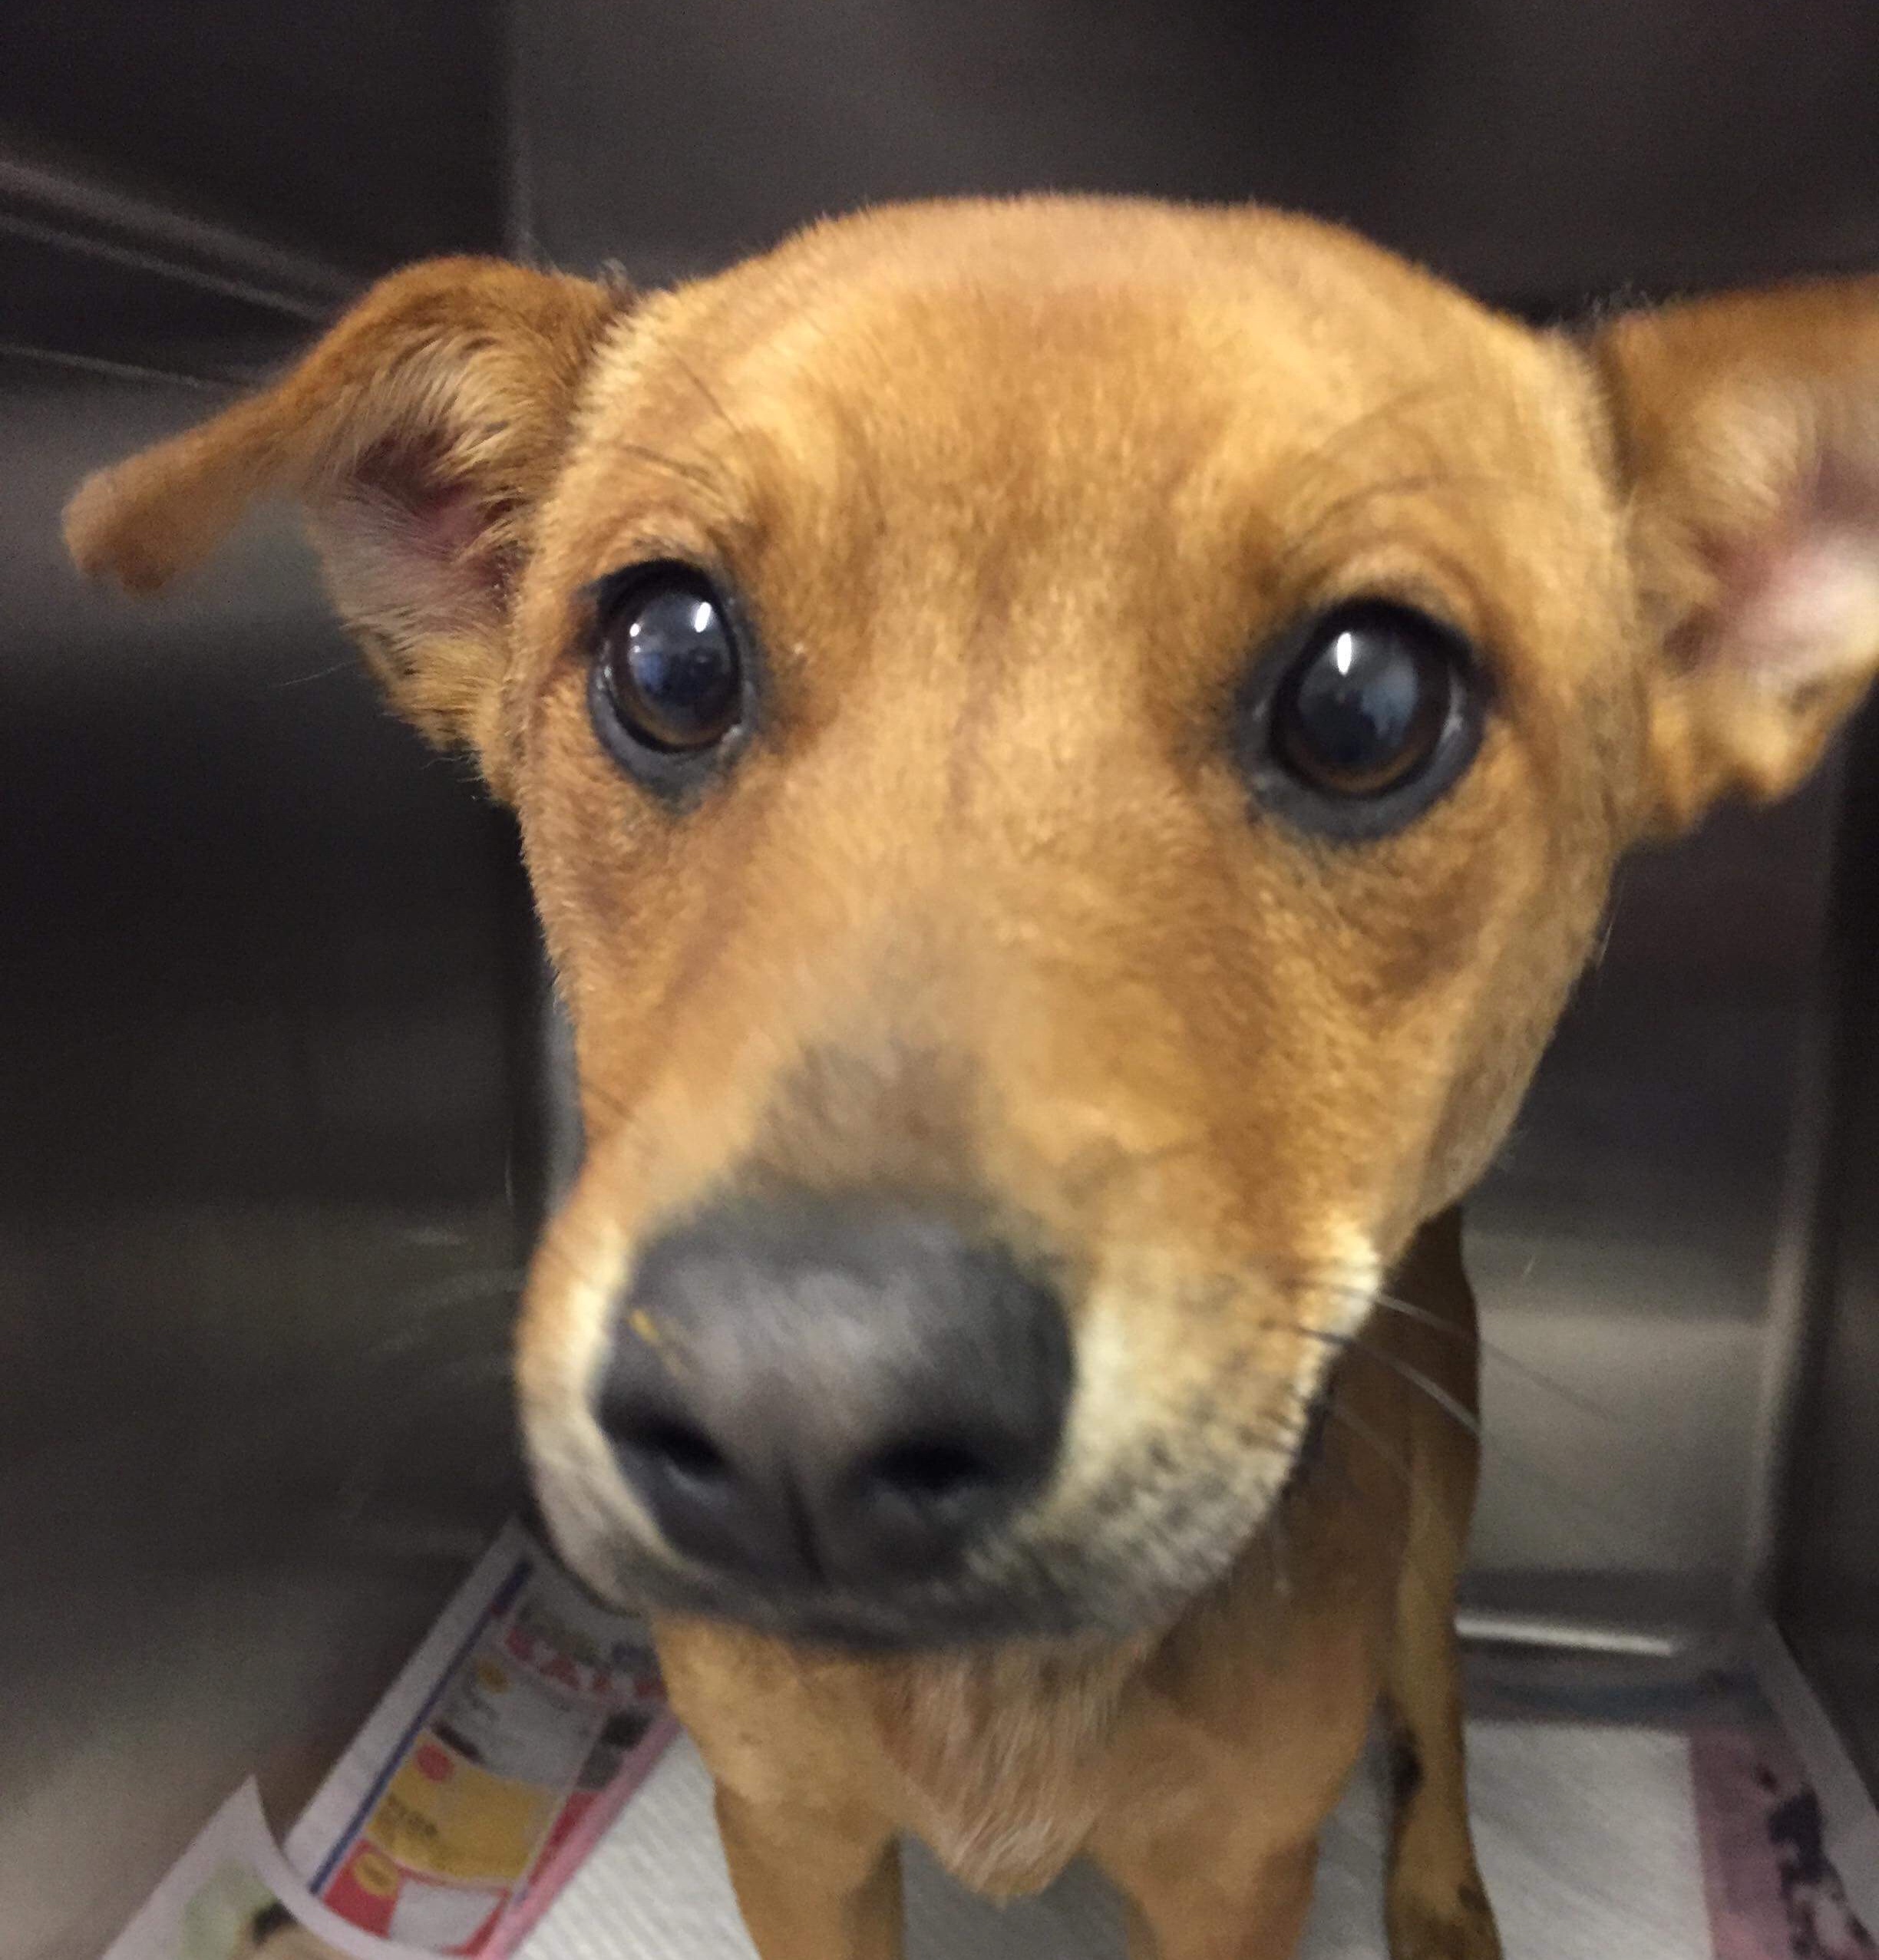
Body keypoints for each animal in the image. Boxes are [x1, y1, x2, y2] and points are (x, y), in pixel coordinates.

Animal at [66, 197, 1879, 1960]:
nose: (798, 1407)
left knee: (1431, 1688)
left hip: (1443, 1481)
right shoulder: (789, 1838)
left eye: (1369, 699)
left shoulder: (1232, 1876)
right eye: (668, 654)